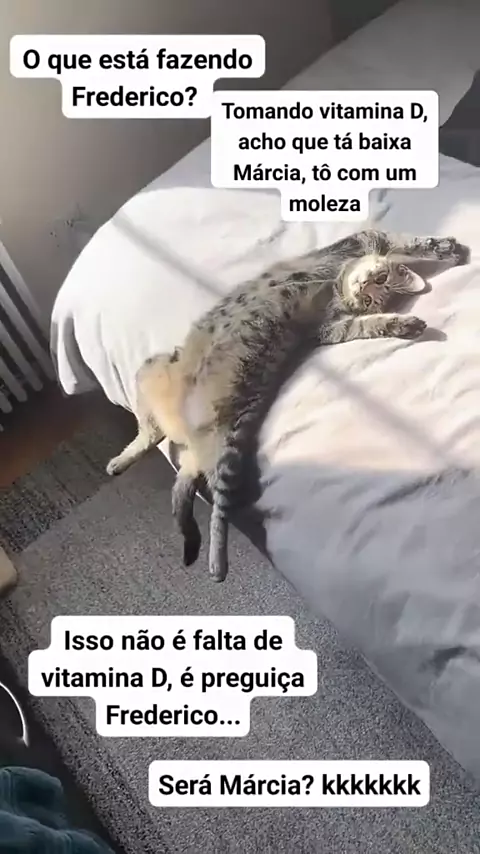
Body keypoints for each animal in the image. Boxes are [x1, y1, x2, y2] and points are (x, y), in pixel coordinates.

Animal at [106, 229, 469, 582]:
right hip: (152, 372)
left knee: (209, 501)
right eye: (377, 281)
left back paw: (214, 563)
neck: (337, 284)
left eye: (372, 298)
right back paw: (123, 464)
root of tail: (184, 431)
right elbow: (402, 241)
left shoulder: (330, 326)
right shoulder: (357, 249)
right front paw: (444, 248)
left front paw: (402, 322)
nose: (363, 290)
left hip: (226, 448)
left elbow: (367, 322)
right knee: (153, 439)